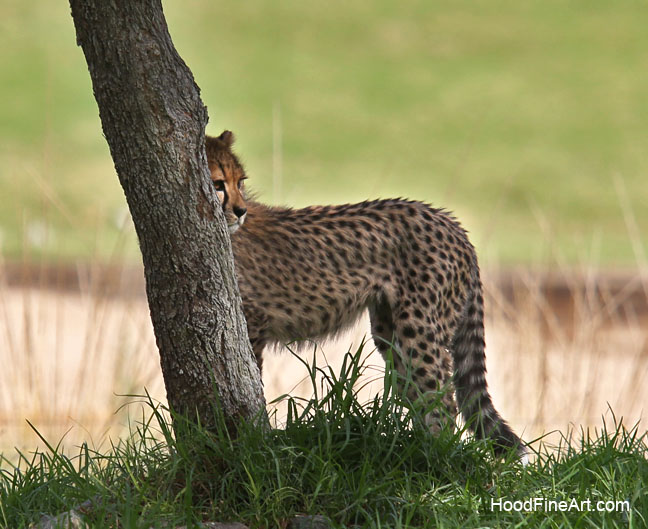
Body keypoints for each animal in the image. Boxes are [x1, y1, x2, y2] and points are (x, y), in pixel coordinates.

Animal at [206, 130, 527, 458]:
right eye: (218, 184)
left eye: (240, 181)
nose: (241, 211)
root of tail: (451, 223)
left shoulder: (254, 323)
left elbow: (254, 380)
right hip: (390, 331)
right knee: (419, 394)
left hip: (419, 330)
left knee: (443, 401)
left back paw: (436, 457)